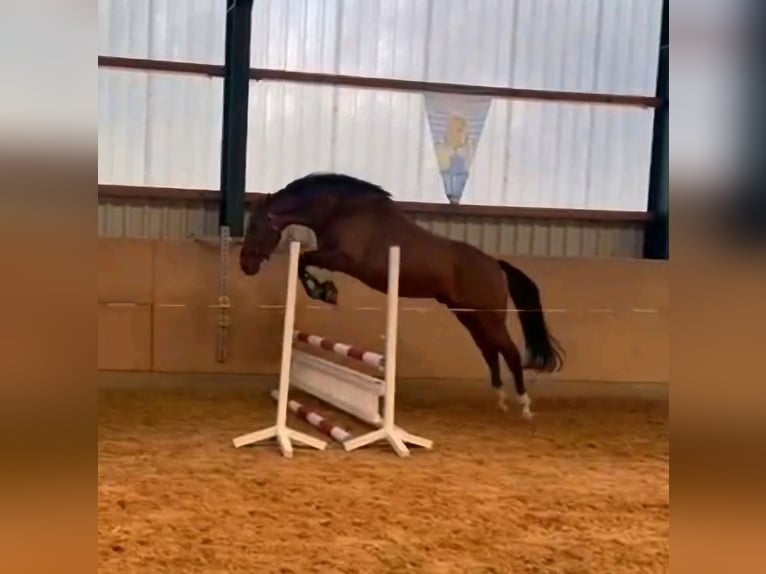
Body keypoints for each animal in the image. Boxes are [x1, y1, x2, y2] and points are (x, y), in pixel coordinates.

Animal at [239, 172, 564, 419]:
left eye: (255, 225)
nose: (245, 265)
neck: (340, 210)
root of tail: (495, 264)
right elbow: (304, 263)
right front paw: (325, 291)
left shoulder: (343, 259)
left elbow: (304, 261)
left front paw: (325, 292)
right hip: (469, 317)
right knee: (490, 351)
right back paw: (500, 398)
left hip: (489, 318)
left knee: (509, 351)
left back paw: (524, 404)